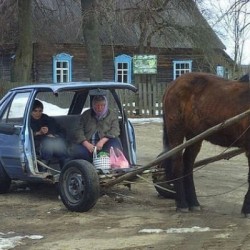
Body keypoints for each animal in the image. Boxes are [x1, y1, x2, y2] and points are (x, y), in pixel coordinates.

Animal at [163, 72, 250, 215]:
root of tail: (173, 84)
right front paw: (247, 209)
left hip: (195, 135)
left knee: (188, 165)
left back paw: (193, 202)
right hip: (176, 130)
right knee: (178, 164)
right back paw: (181, 204)